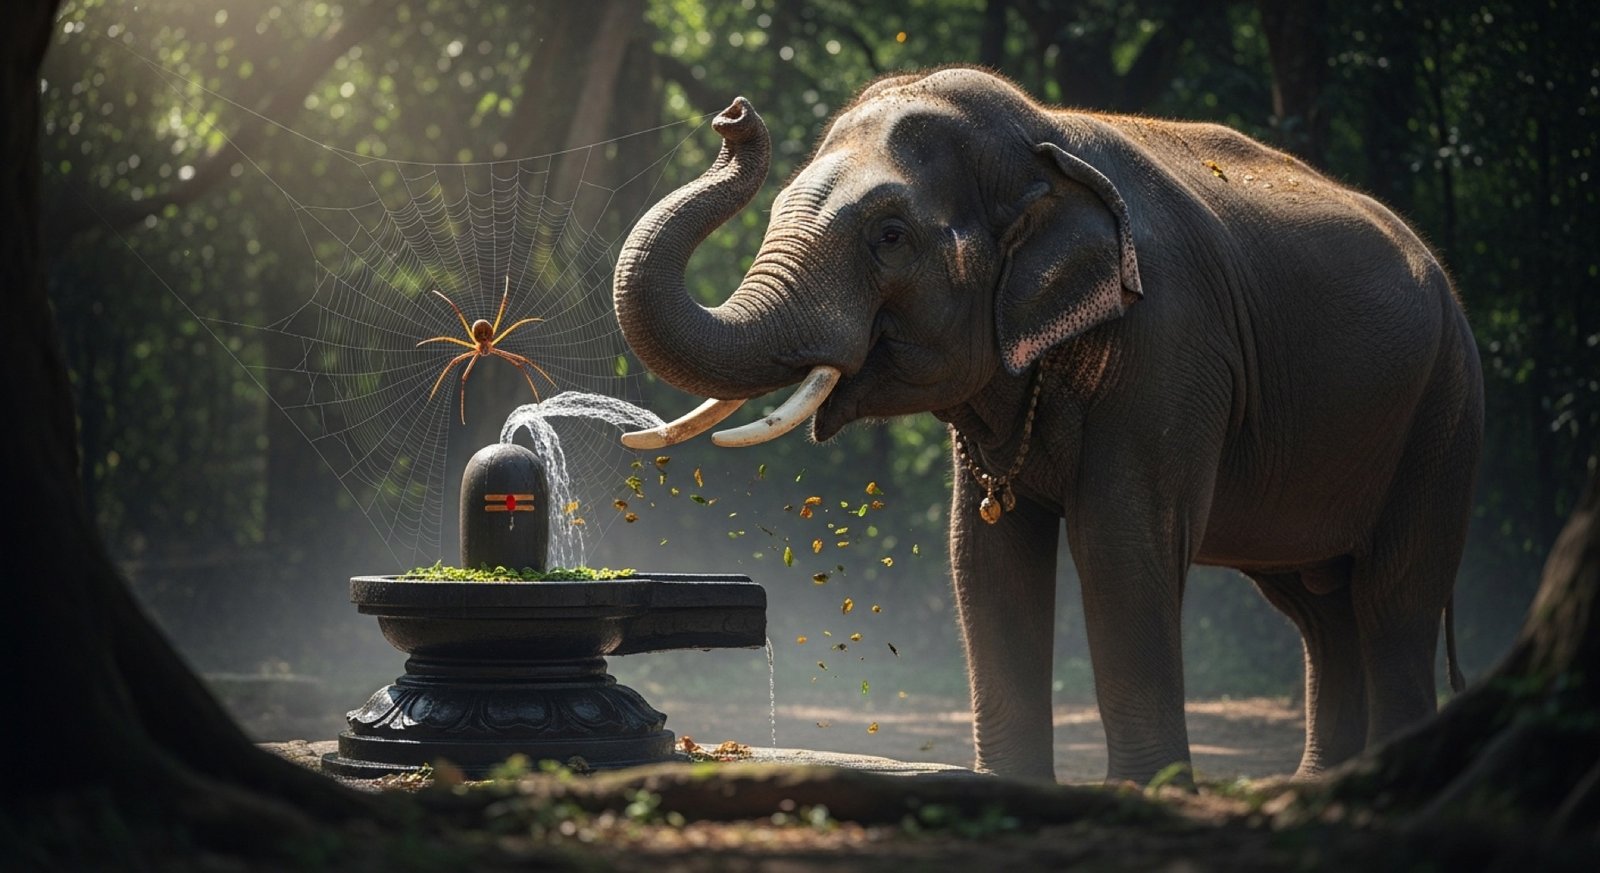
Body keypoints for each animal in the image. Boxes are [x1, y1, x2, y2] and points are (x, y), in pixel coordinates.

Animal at [611, 67, 1483, 784]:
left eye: (890, 236)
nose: (732, 115)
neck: (1045, 140)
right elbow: (983, 554)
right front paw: (1013, 785)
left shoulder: (1171, 344)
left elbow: (1122, 542)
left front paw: (1145, 791)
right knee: (1320, 609)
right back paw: (1319, 783)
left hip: (1444, 413)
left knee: (1392, 600)